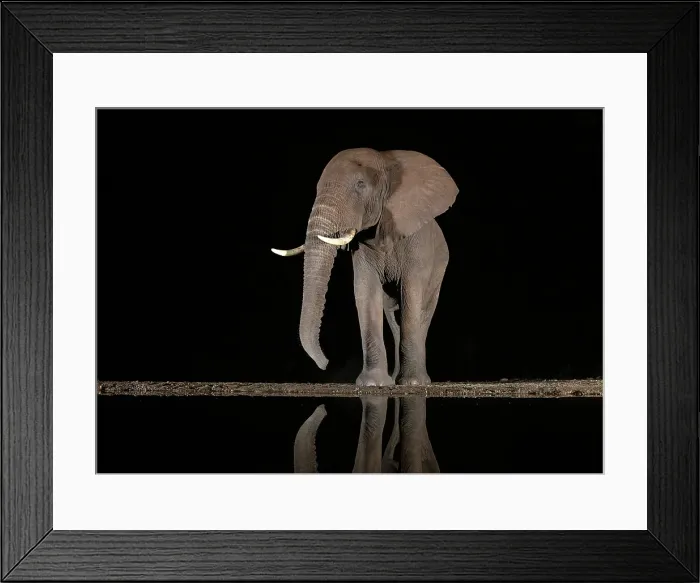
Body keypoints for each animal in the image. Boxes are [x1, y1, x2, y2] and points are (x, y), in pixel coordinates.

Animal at [272, 148, 459, 387]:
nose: (326, 364)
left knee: (422, 312)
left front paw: (412, 384)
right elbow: (365, 292)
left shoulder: (416, 244)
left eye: (360, 185)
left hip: (439, 266)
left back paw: (418, 381)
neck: (386, 161)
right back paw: (394, 379)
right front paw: (374, 384)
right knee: (392, 316)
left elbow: (411, 294)